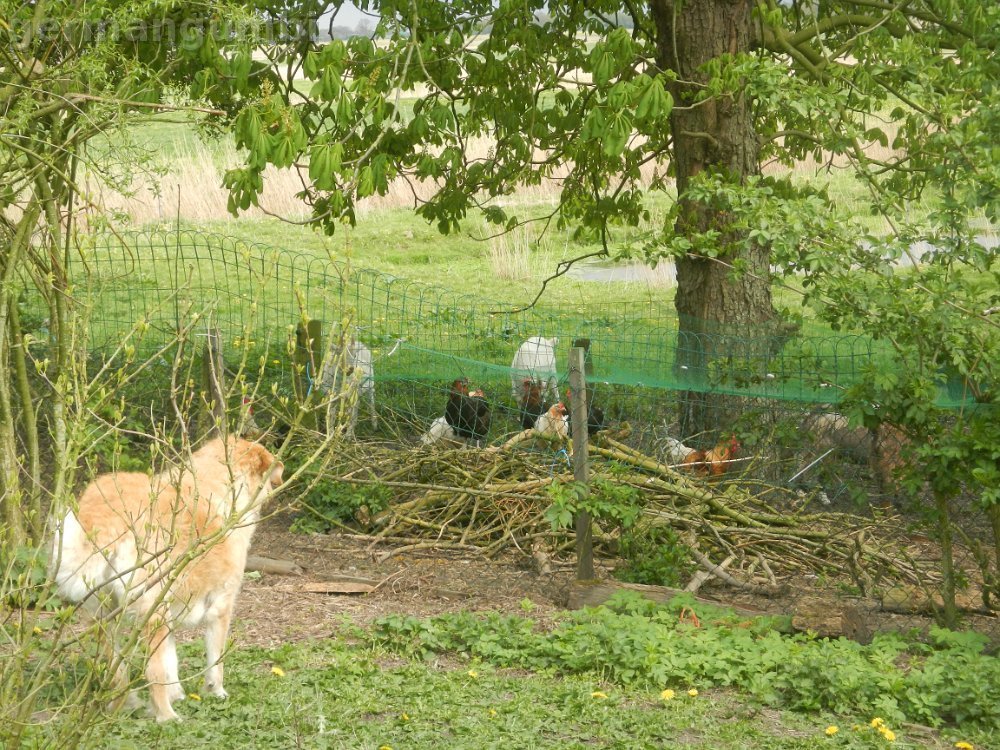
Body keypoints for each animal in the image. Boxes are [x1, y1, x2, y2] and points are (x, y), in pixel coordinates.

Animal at [51, 437, 283, 721]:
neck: (217, 485)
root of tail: (105, 515)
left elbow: (171, 662)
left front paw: (178, 694)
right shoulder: (220, 607)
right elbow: (214, 661)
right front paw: (216, 692)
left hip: (104, 616)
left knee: (118, 671)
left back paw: (124, 705)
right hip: (151, 614)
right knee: (152, 671)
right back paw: (167, 717)